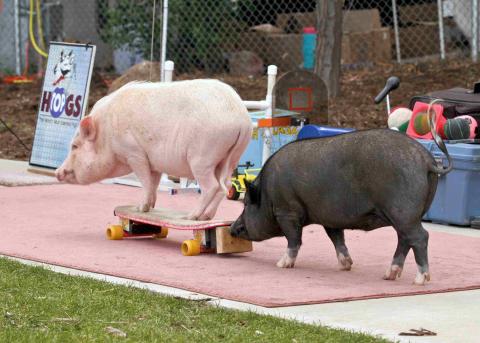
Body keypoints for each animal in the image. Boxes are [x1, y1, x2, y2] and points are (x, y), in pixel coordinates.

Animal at [54, 80, 253, 220]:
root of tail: (241, 118)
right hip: (232, 157)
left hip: (202, 157)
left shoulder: (134, 153)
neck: (106, 135)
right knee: (226, 185)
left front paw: (138, 208)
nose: (57, 172)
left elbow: (145, 182)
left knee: (212, 186)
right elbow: (153, 183)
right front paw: (149, 208)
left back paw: (191, 216)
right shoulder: (154, 162)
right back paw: (206, 217)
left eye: (75, 146)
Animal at [231, 129, 452, 284]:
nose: (232, 227)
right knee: (404, 240)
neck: (267, 194)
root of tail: (427, 160)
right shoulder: (329, 217)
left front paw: (281, 264)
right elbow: (337, 238)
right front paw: (345, 266)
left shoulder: (287, 211)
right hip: (409, 214)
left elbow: (294, 239)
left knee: (420, 237)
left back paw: (420, 279)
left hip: (403, 212)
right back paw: (389, 275)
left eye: (246, 203)